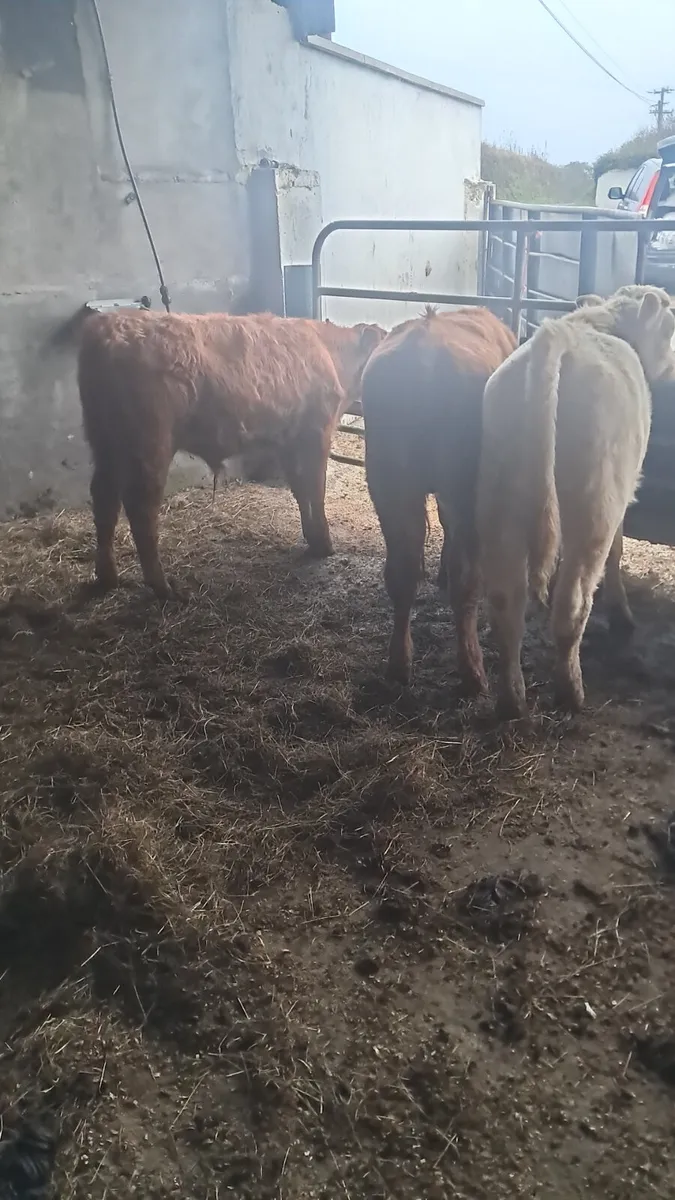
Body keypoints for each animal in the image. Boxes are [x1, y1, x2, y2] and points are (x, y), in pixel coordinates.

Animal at [78, 310, 384, 599]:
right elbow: (316, 490)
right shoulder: (317, 433)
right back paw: (163, 587)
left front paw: (312, 538)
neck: (330, 354)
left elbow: (300, 490)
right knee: (140, 509)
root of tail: (108, 328)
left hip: (105, 444)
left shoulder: (290, 440)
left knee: (104, 500)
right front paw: (324, 543)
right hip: (149, 446)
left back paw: (107, 577)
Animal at [361, 306, 517, 694]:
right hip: (465, 489)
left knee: (401, 574)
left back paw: (399, 665)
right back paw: (472, 670)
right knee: (466, 580)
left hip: (390, 483)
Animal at [477, 285, 675, 720]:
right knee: (572, 604)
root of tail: (556, 337)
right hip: (594, 506)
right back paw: (572, 692)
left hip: (501, 506)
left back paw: (512, 700)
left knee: (506, 602)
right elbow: (617, 552)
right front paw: (622, 614)